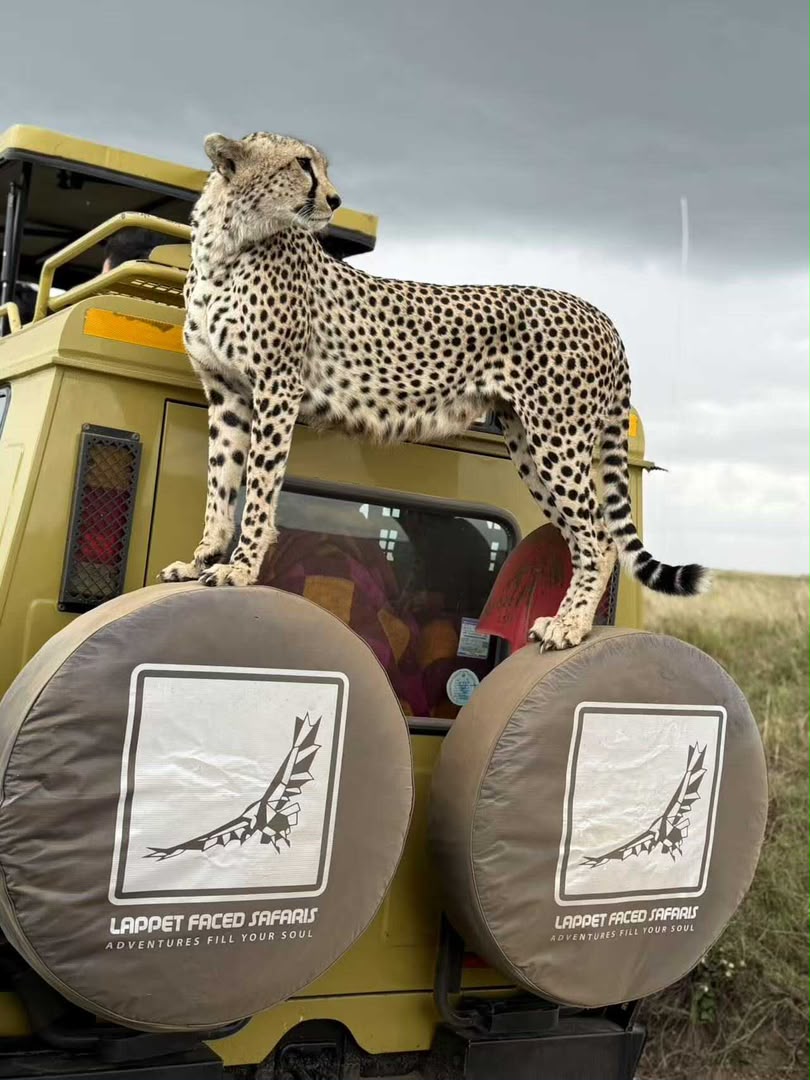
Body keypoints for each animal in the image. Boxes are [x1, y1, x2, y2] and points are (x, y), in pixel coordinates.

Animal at [160, 130, 709, 651]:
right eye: (302, 163)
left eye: (318, 165)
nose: (335, 199)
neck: (226, 245)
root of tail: (599, 314)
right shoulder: (227, 394)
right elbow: (220, 484)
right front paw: (201, 560)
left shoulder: (277, 388)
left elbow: (258, 488)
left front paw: (240, 568)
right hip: (529, 446)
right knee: (585, 536)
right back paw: (570, 618)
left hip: (559, 441)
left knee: (600, 538)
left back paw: (569, 626)